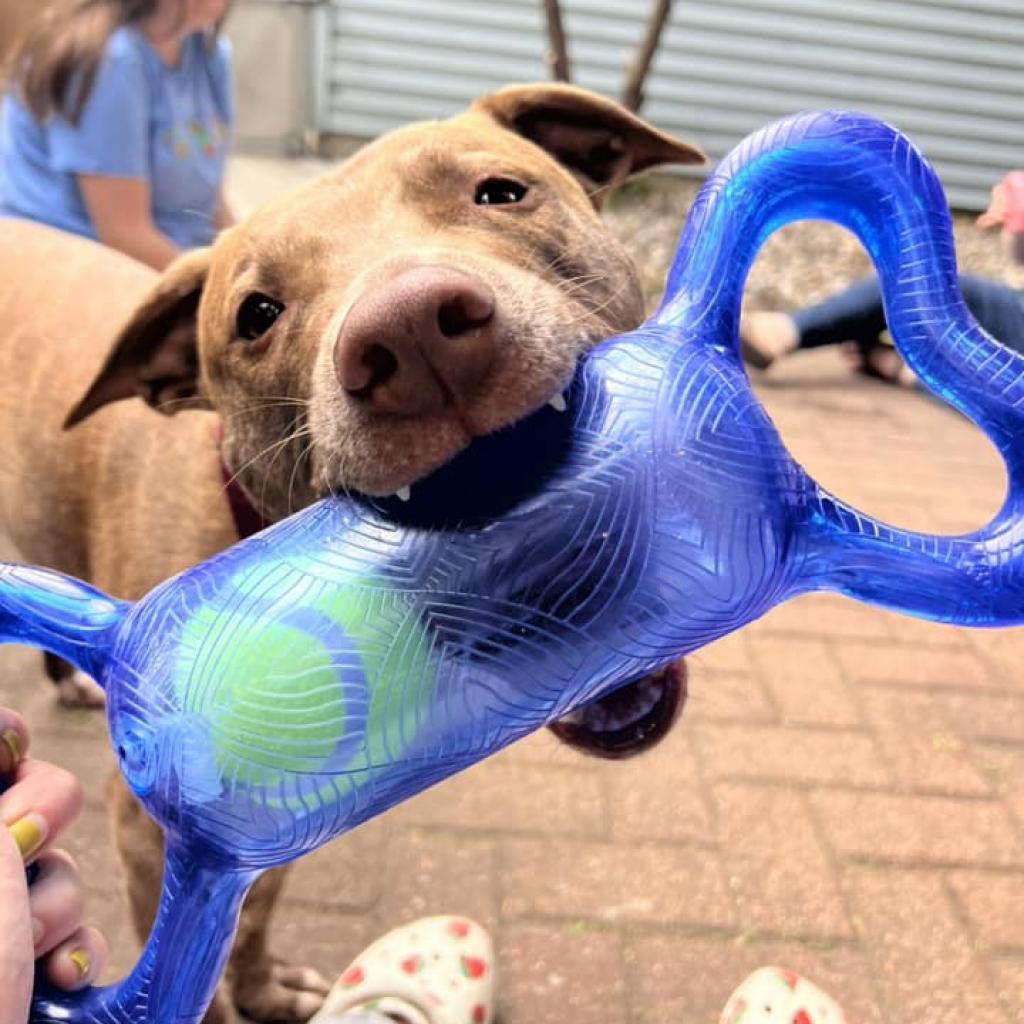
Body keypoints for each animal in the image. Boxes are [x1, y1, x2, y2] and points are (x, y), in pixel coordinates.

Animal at [0, 81, 700, 1024]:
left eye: (501, 192)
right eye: (256, 315)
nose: (413, 337)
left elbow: (259, 909)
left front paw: (264, 986)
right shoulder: (155, 838)